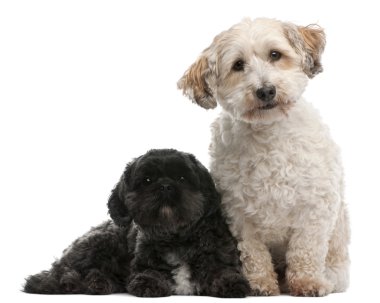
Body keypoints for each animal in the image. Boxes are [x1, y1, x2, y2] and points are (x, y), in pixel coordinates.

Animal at [23, 151, 249, 298]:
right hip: (101, 242)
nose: (165, 185)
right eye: (147, 180)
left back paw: (97, 283)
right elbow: (148, 273)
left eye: (182, 178)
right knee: (62, 268)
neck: (176, 236)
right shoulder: (143, 262)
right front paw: (149, 283)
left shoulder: (220, 255)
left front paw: (231, 283)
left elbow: (222, 270)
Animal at [178, 18, 350, 296]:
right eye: (238, 65)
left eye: (275, 55)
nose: (266, 91)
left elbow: (306, 248)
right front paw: (259, 284)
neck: (269, 133)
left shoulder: (315, 207)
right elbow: (253, 253)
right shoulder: (238, 214)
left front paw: (307, 281)